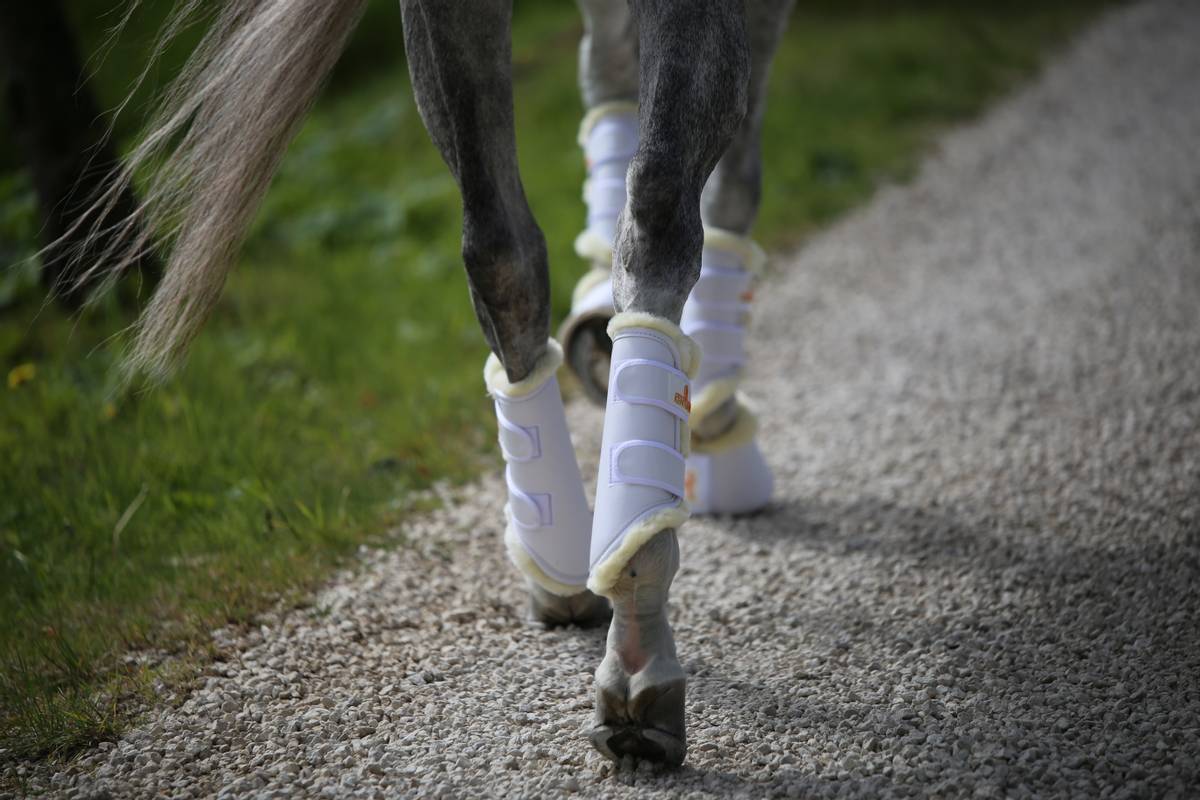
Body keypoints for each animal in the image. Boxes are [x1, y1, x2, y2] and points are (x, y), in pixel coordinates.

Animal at [72, 0, 787, 767]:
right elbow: (731, 181)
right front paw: (712, 423)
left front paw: (602, 308)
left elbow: (607, 69)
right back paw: (637, 647)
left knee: (502, 248)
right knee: (655, 205)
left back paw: (570, 572)